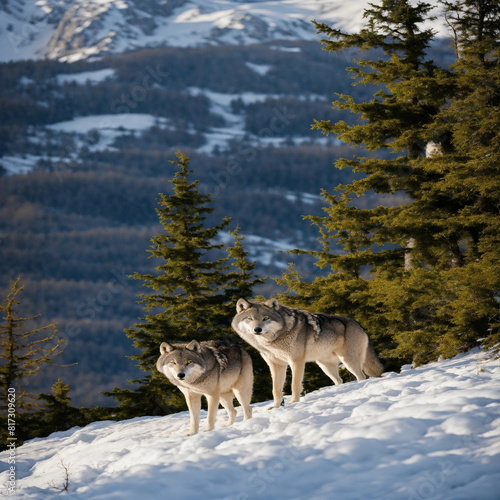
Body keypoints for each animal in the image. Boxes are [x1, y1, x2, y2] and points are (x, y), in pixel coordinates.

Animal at [230, 298, 382, 408]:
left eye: (266, 318)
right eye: (249, 319)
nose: (257, 329)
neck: (273, 340)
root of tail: (359, 325)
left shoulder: (296, 361)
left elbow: (294, 385)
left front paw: (293, 402)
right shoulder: (276, 365)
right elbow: (276, 390)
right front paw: (275, 407)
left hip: (348, 361)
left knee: (362, 377)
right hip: (325, 366)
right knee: (339, 380)